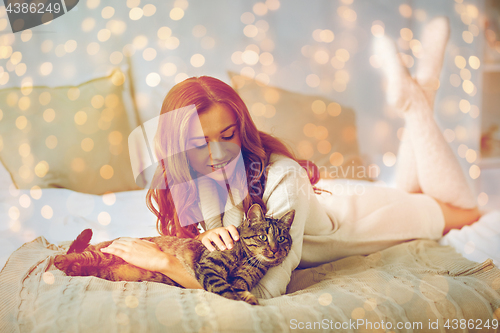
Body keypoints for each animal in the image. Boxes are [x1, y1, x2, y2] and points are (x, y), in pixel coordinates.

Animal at [54, 202, 292, 304]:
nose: (274, 249)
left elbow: (237, 286)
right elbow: (224, 288)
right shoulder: (208, 267)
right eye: (263, 237)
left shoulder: (242, 280)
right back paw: (61, 260)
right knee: (70, 256)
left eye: (282, 239)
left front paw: (245, 296)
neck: (247, 260)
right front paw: (241, 300)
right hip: (103, 254)